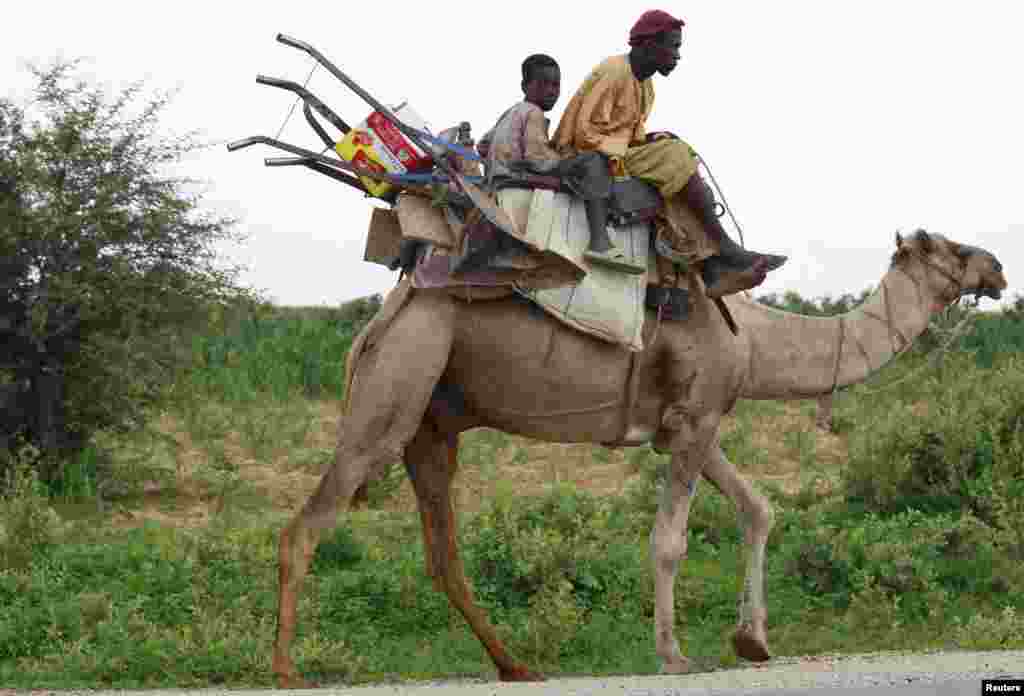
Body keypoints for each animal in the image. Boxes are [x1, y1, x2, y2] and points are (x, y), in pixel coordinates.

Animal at [271, 229, 1005, 686]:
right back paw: (286, 670)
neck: (755, 340)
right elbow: (671, 541)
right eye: (951, 246)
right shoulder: (697, 418)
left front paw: (753, 641)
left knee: (441, 552)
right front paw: (673, 653)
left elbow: (758, 509)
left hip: (432, 423)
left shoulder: (690, 425)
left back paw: (516, 665)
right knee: (308, 523)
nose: (997, 268)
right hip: (398, 382)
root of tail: (377, 323)